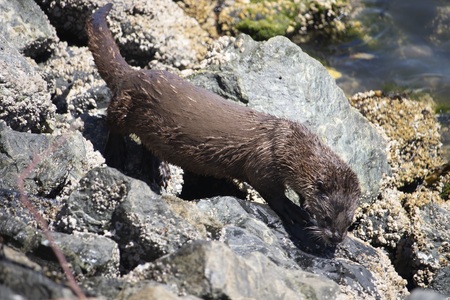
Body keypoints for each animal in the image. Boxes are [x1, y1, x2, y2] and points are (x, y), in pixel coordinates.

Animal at [84, 3, 360, 245]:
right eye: (326, 217)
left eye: (349, 222)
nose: (336, 238)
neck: (287, 144)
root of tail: (132, 74)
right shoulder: (264, 161)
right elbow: (269, 189)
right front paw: (293, 210)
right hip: (125, 105)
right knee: (111, 121)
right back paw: (118, 152)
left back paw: (159, 171)